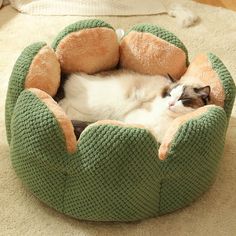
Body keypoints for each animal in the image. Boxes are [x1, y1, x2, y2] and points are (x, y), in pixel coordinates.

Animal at [57, 68, 210, 142]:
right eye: (169, 95)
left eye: (184, 99)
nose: (170, 103)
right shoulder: (133, 118)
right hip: (98, 108)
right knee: (63, 105)